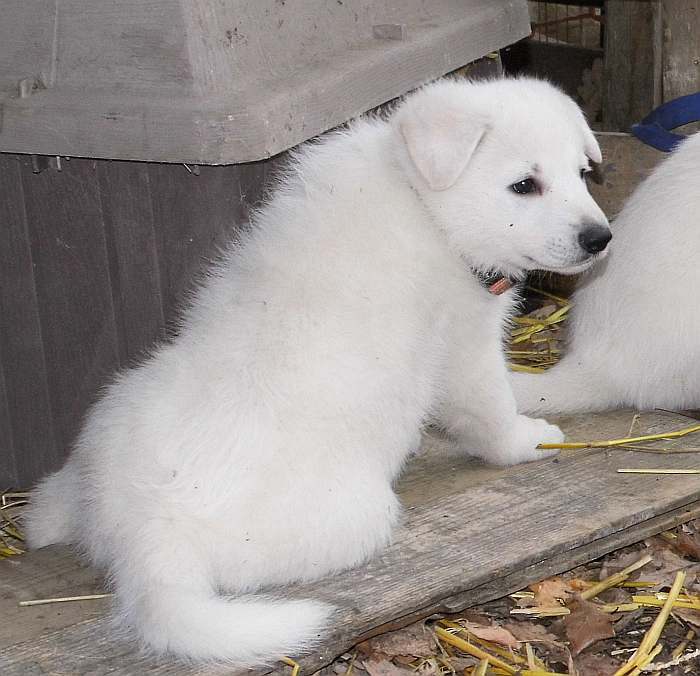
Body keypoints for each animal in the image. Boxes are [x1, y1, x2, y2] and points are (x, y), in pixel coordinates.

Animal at [26, 76, 608, 664]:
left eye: (581, 174)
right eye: (524, 185)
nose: (600, 239)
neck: (422, 202)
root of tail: (148, 535)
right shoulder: (464, 350)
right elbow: (492, 411)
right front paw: (529, 442)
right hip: (360, 516)